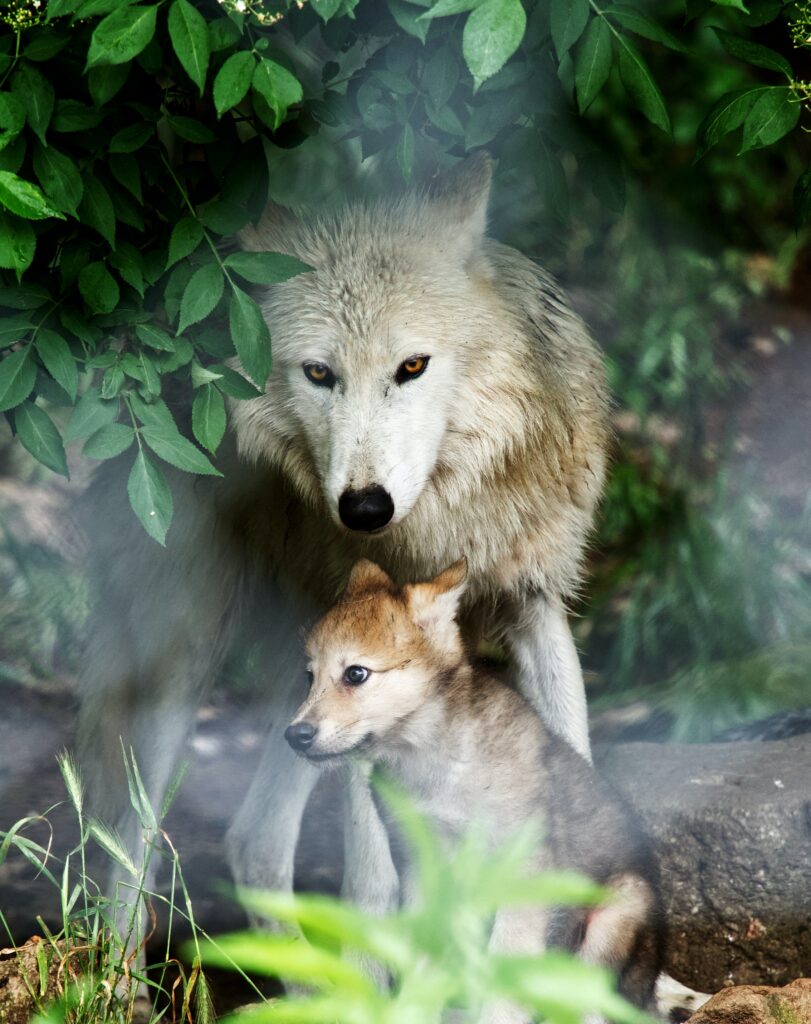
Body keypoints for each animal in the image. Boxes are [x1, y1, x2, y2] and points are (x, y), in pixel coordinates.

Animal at [77, 149, 606, 937]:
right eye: (318, 373)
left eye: (412, 366)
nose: (363, 507)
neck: (436, 532)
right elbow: (376, 884)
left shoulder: (533, 606)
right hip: (187, 656)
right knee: (129, 842)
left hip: (291, 684)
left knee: (254, 840)